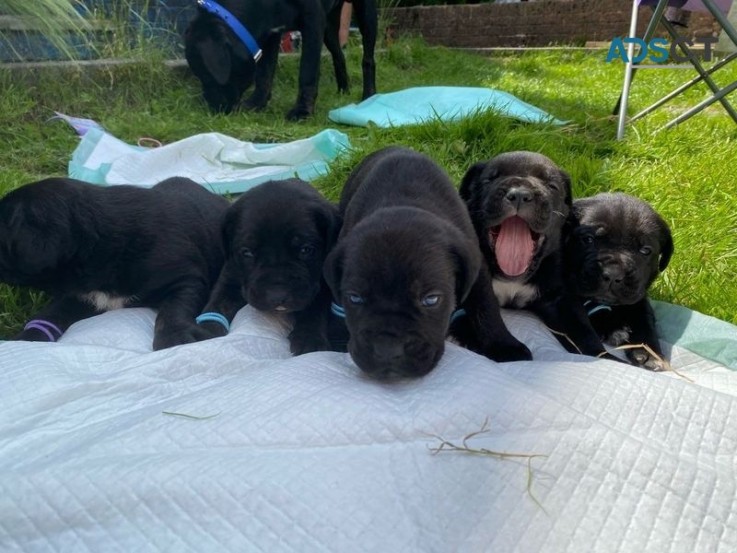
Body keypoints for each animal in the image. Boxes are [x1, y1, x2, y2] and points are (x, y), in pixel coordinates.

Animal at [0, 177, 229, 350]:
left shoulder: (185, 278)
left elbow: (173, 308)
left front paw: (175, 337)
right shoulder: (80, 295)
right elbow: (53, 313)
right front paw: (28, 338)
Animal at [183, 0, 376, 119]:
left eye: (207, 76)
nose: (214, 108)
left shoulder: (313, 20)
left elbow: (308, 70)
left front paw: (302, 111)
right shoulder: (272, 31)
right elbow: (264, 74)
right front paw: (256, 103)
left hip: (365, 13)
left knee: (368, 59)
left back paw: (369, 96)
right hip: (329, 26)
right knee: (339, 55)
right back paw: (343, 90)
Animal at [198, 179, 342, 356]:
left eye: (306, 250)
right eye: (247, 252)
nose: (277, 296)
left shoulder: (320, 285)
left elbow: (315, 308)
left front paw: (309, 337)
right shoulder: (230, 278)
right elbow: (217, 304)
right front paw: (206, 331)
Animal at [322, 146, 528, 380]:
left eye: (431, 300)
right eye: (355, 298)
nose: (387, 350)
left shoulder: (478, 272)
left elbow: (486, 307)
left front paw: (505, 346)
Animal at [564, 192, 672, 368]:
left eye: (645, 250)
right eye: (588, 239)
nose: (613, 274)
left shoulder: (638, 295)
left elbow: (645, 319)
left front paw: (649, 352)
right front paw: (612, 328)